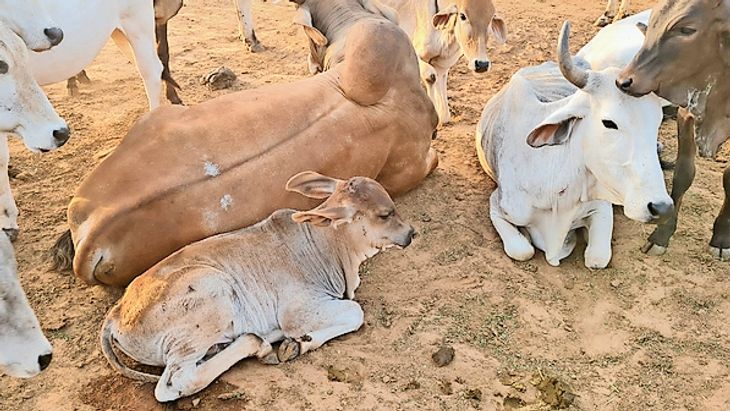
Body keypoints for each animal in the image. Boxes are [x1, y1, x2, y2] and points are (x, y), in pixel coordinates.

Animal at [99, 172, 415, 402]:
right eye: (385, 214)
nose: (411, 233)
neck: (328, 247)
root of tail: (115, 314)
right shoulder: (297, 311)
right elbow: (355, 312)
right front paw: (298, 343)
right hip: (211, 295)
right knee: (175, 383)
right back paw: (256, 343)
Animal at [375, 0, 507, 126]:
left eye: (490, 18)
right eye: (462, 16)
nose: (482, 64)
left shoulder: (442, 66)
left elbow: (444, 114)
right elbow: (430, 76)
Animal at [476, 21, 673, 268]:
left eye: (657, 120)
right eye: (609, 123)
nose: (662, 208)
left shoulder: (601, 206)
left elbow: (597, 258)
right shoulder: (498, 204)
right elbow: (522, 250)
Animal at [616, 0, 730, 261]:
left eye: (687, 29)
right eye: (652, 24)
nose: (624, 81)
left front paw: (722, 238)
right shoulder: (687, 110)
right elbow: (683, 173)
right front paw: (661, 234)